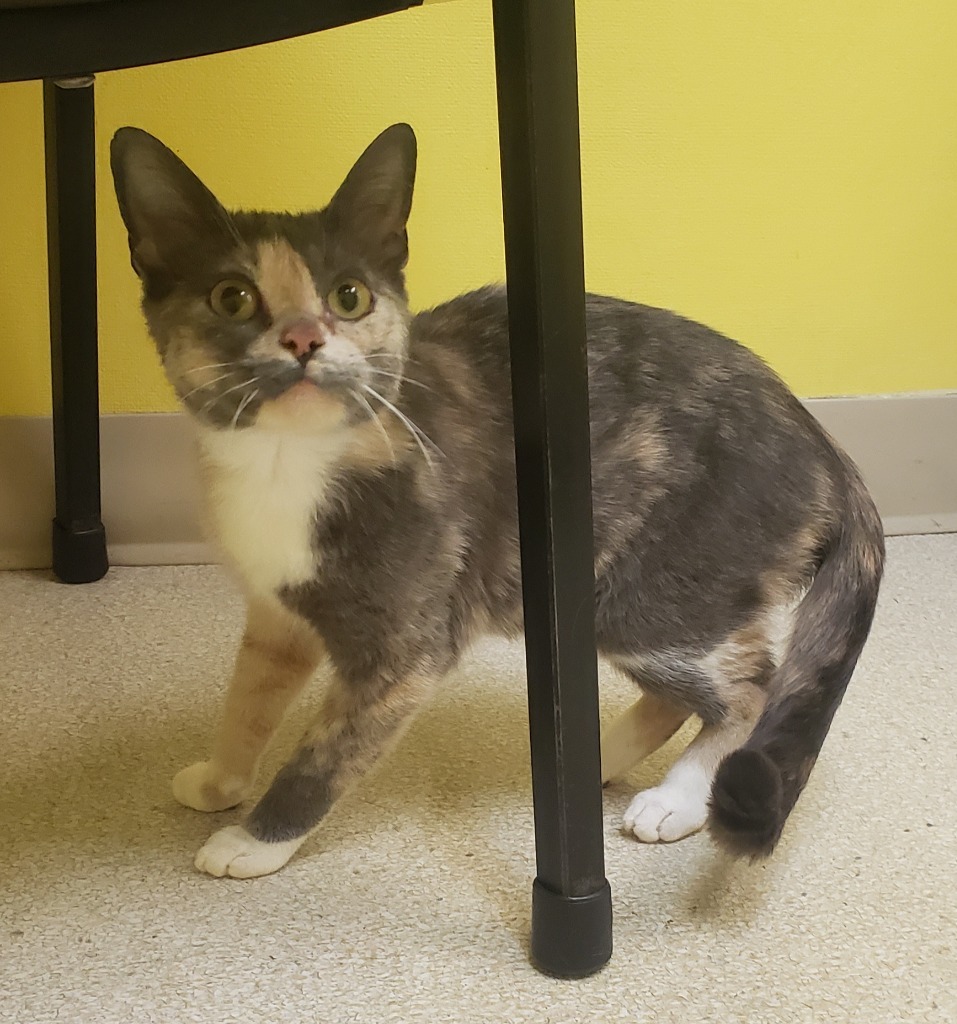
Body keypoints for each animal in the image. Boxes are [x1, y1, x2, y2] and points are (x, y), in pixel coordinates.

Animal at [110, 121, 884, 880]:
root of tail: (823, 443)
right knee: (679, 692)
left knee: (751, 685)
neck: (286, 463)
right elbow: (248, 696)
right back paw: (592, 764)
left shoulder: (408, 646)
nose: (304, 337)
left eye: (349, 296)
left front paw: (258, 839)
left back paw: (678, 797)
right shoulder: (277, 610)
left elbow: (329, 751)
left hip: (656, 590)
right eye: (231, 297)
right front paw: (221, 779)